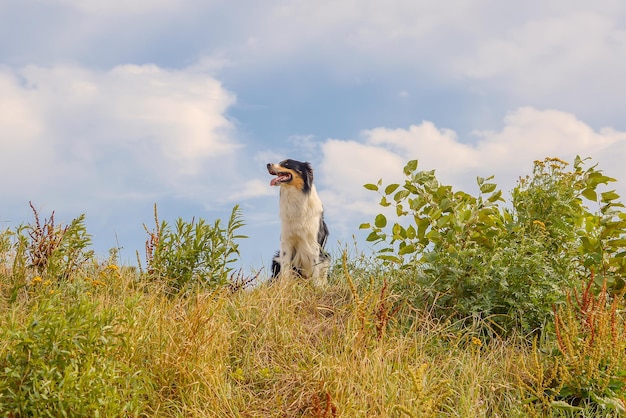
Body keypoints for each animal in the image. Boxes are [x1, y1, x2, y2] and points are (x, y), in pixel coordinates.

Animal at [266, 158, 330, 286]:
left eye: (286, 163)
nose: (268, 164)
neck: (295, 194)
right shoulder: (286, 241)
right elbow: (286, 267)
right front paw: (284, 285)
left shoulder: (314, 243)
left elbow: (315, 266)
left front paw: (316, 286)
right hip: (277, 258)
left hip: (326, 256)